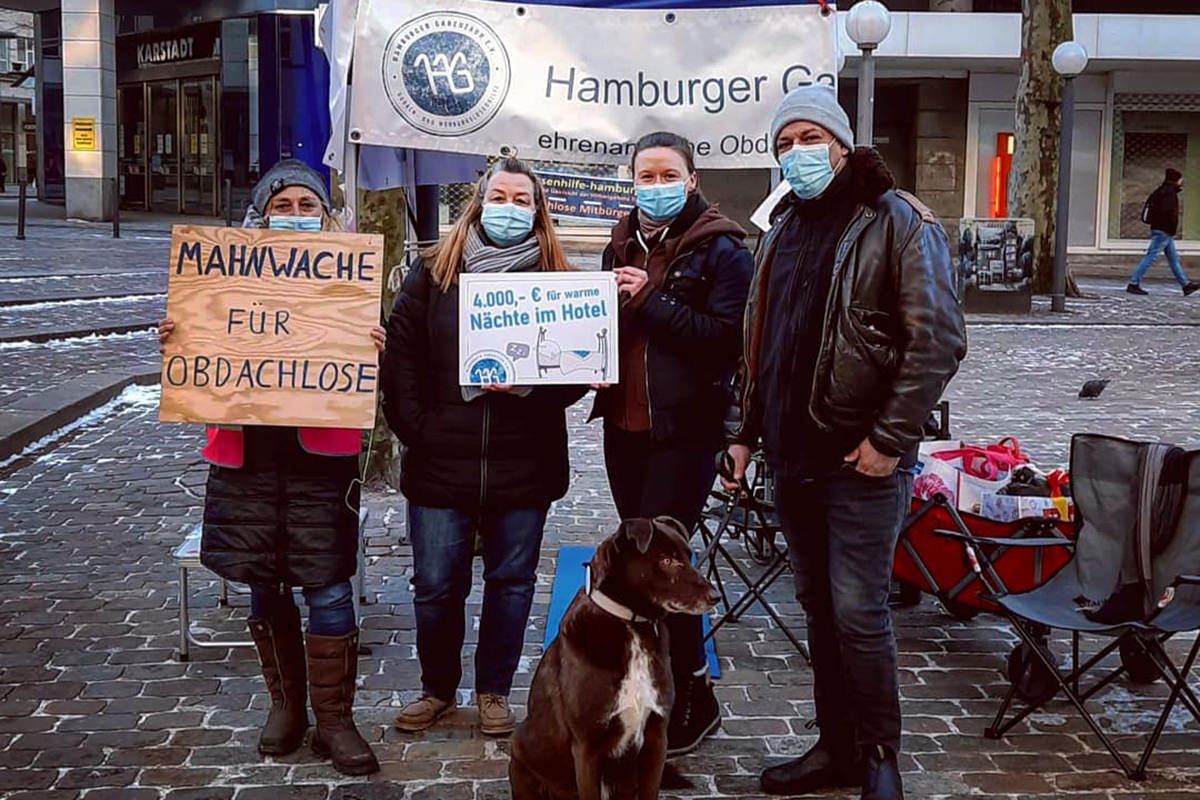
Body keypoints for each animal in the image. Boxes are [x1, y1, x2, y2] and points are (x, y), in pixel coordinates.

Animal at [509, 516, 719, 800]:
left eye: (689, 556)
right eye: (667, 560)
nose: (715, 596)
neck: (633, 626)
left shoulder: (657, 738)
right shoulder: (587, 747)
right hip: (520, 748)